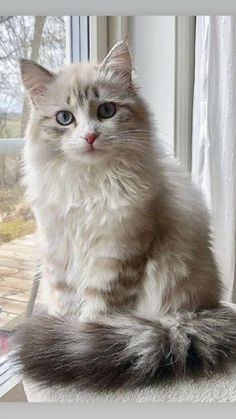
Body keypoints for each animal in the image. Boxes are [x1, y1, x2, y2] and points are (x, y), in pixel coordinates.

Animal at [12, 41, 236, 390]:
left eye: (106, 111)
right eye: (65, 118)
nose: (90, 137)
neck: (89, 185)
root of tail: (204, 310)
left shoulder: (118, 253)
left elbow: (96, 311)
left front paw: (76, 337)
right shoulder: (59, 252)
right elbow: (66, 304)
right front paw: (63, 331)